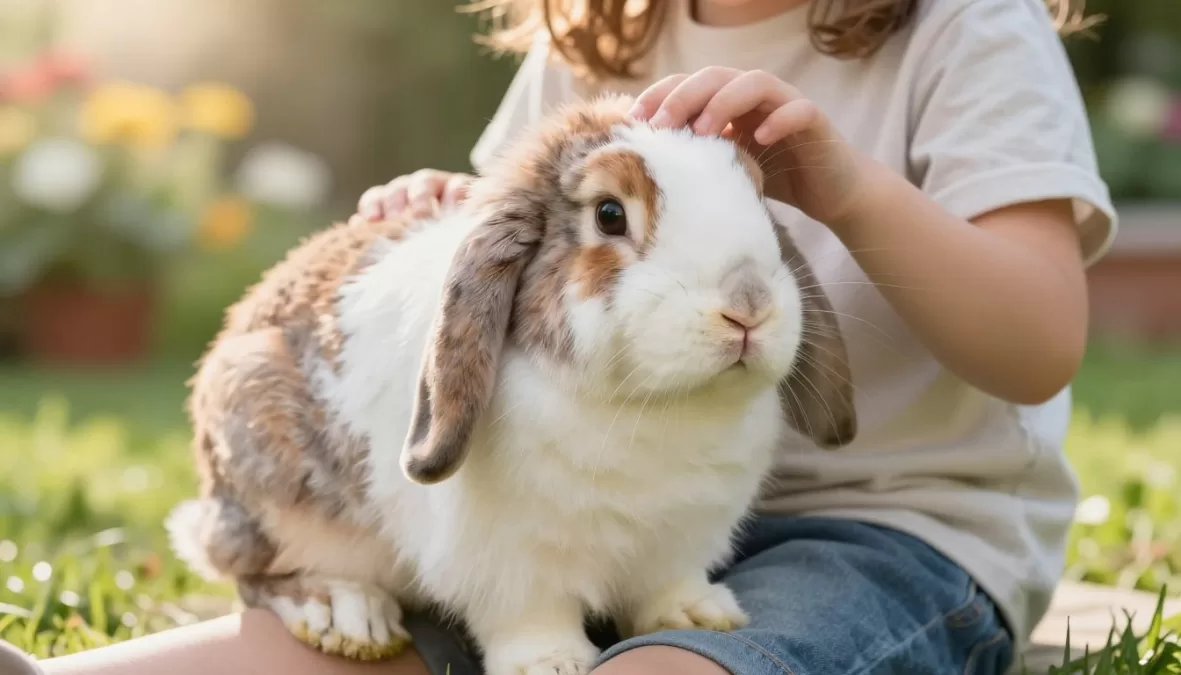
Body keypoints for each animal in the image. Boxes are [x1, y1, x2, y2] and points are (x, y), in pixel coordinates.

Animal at [165, 94, 857, 675]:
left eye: (761, 200)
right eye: (610, 215)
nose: (748, 305)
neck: (652, 408)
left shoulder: (679, 540)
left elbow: (667, 582)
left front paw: (699, 616)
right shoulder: (508, 562)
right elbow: (529, 615)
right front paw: (551, 665)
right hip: (263, 478)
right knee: (252, 574)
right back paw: (347, 615)